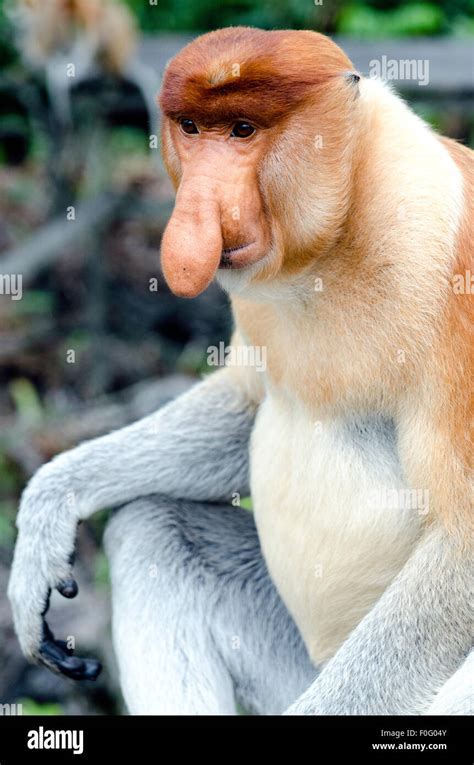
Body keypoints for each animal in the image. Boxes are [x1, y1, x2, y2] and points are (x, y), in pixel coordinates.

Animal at [8, 27, 473, 715]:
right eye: (192, 128)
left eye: (243, 130)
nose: (198, 211)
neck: (335, 243)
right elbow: (248, 400)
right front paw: (49, 510)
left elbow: (462, 538)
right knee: (154, 529)